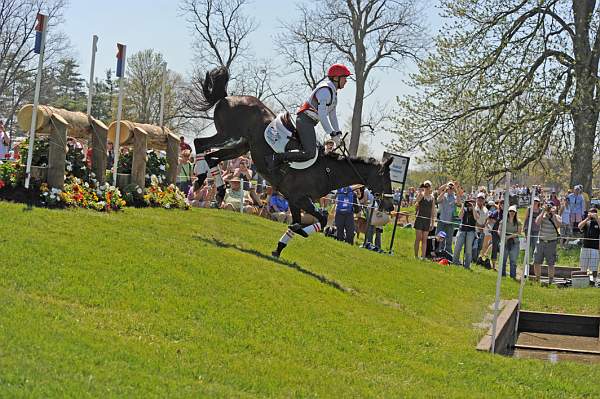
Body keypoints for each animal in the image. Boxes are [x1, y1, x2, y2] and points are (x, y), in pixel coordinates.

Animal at [195, 67, 396, 258]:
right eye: (385, 180)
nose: (391, 206)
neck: (328, 171)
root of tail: (227, 97)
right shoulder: (299, 198)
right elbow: (321, 220)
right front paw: (302, 232)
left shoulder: (295, 199)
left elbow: (301, 222)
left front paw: (279, 248)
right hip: (227, 134)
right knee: (200, 143)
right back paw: (200, 180)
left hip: (240, 146)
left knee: (212, 158)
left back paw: (218, 191)